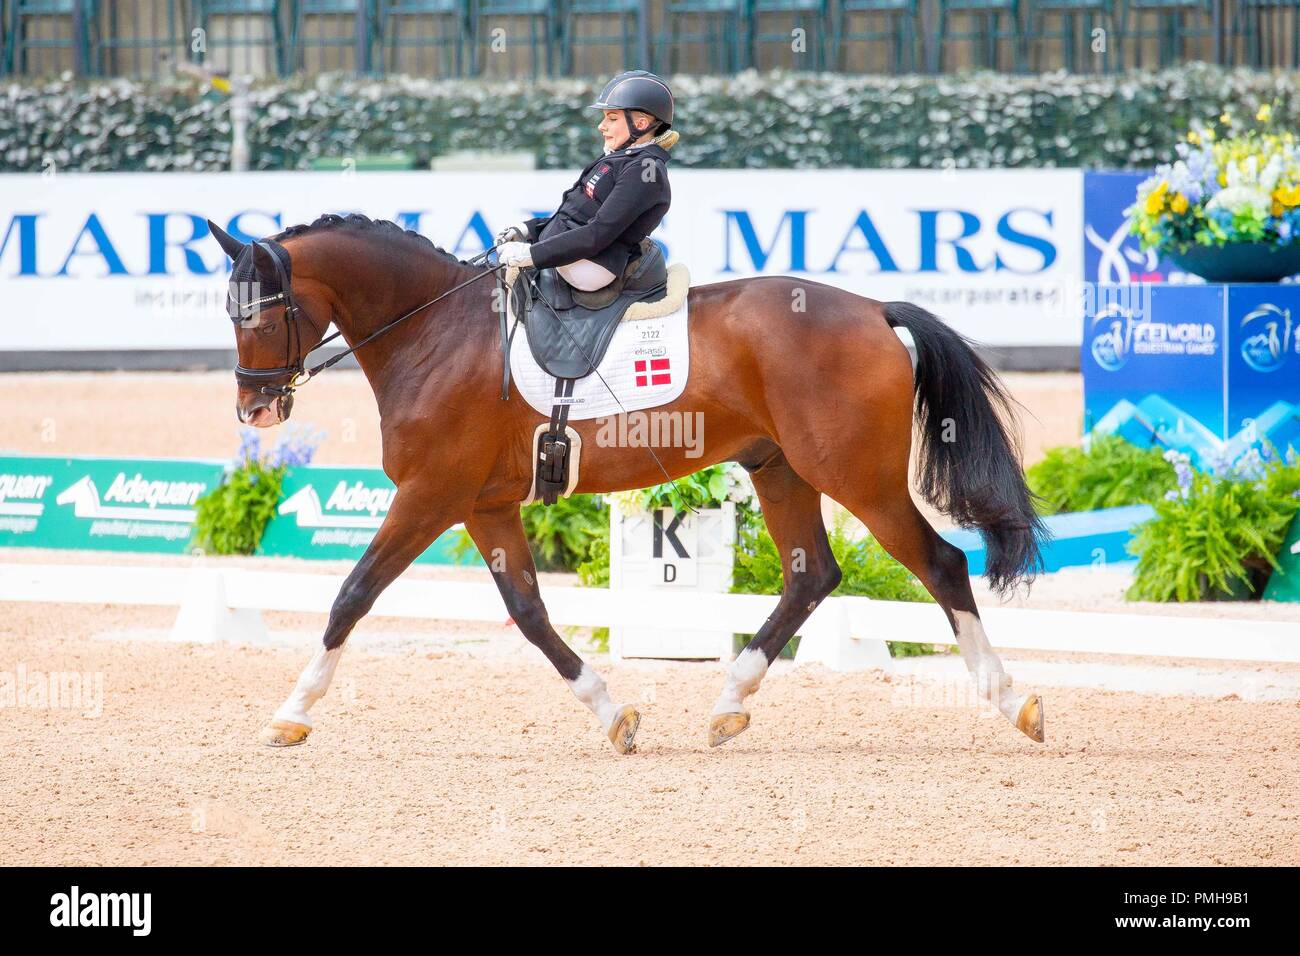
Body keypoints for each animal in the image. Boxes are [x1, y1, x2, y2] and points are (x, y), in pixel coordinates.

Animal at [208, 210, 1050, 754]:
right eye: (229, 310)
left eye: (262, 315)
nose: (253, 409)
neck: (432, 331)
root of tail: (874, 309)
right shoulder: (485, 504)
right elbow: (530, 613)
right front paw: (614, 716)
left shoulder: (430, 495)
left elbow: (352, 595)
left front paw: (290, 712)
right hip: (780, 469)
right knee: (813, 574)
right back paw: (728, 706)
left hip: (854, 476)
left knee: (940, 563)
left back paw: (1014, 703)